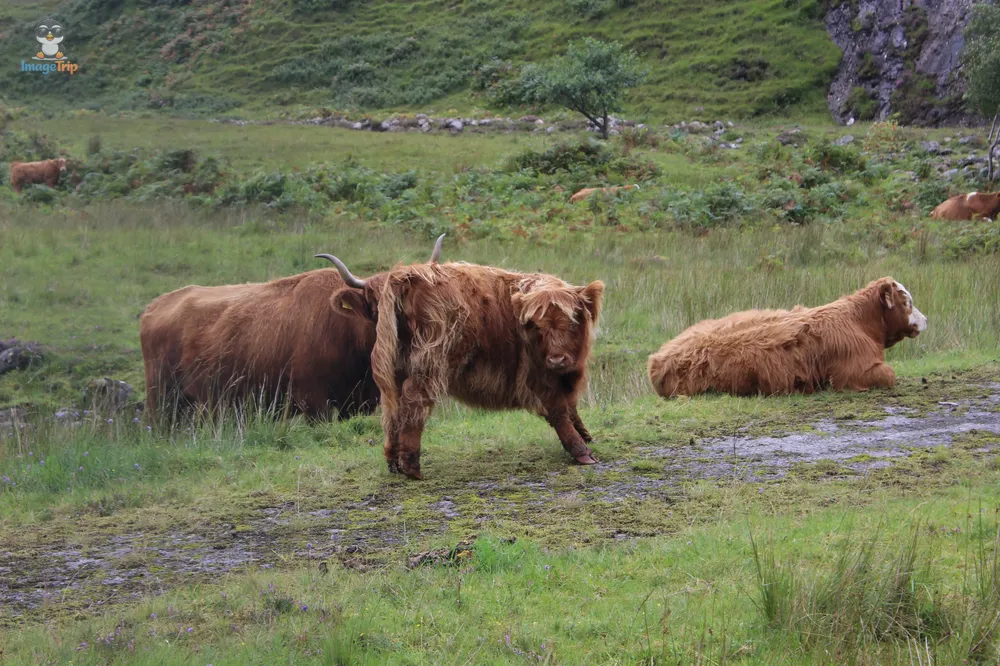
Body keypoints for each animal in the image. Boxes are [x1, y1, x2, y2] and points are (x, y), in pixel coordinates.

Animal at [314, 253, 605, 480]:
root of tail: (406, 276)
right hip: (429, 362)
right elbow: (558, 409)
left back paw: (393, 461)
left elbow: (570, 406)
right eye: (538, 327)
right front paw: (582, 451)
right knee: (415, 401)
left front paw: (585, 435)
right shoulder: (538, 374)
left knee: (392, 407)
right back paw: (412, 466)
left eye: (572, 323)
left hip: (396, 366)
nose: (557, 359)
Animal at [647, 277, 927, 398]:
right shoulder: (853, 374)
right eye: (908, 302)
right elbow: (889, 374)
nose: (925, 320)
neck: (860, 322)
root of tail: (657, 359)